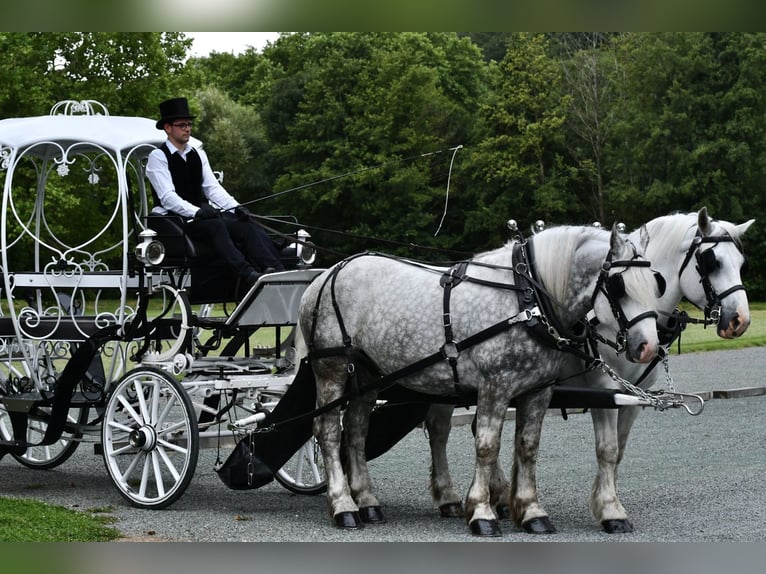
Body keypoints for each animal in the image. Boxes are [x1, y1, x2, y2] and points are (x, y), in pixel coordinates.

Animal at [296, 224, 664, 536]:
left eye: (655, 283)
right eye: (619, 286)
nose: (648, 347)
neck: (526, 297)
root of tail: (325, 276)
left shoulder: (538, 391)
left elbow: (527, 447)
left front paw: (531, 512)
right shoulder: (495, 385)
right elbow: (487, 446)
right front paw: (482, 512)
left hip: (367, 376)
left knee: (356, 431)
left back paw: (367, 501)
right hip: (332, 368)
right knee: (327, 431)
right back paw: (343, 504)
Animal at [424, 207, 752, 536]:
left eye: (741, 263)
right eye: (711, 261)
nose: (741, 321)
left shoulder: (634, 397)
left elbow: (618, 450)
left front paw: (606, 499)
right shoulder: (603, 390)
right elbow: (606, 449)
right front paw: (609, 510)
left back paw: (499, 496)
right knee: (440, 431)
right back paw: (450, 497)